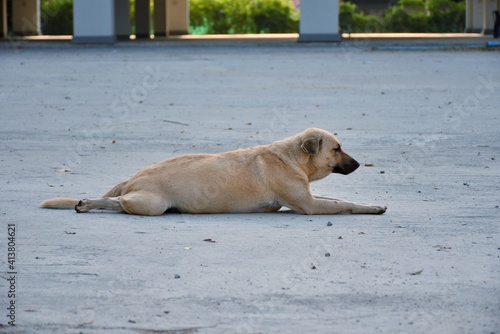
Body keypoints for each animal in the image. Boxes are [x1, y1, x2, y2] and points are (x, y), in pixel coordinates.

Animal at [41, 128, 388, 217]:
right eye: (337, 149)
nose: (359, 164)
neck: (290, 157)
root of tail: (134, 177)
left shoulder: (310, 198)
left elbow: (341, 199)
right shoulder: (310, 206)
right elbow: (345, 203)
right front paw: (371, 208)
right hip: (150, 204)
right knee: (118, 203)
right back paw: (90, 203)